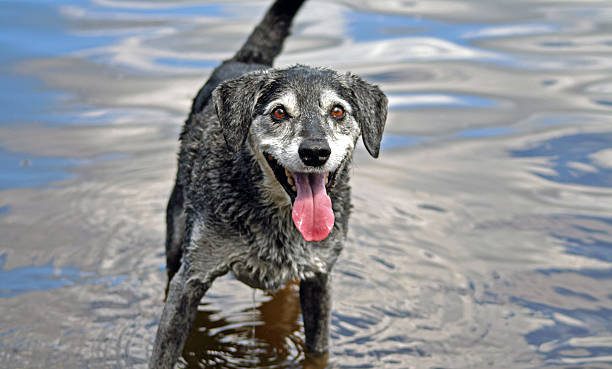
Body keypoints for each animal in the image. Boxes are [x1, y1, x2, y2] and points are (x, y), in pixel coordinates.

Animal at [149, 0, 388, 366]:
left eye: (337, 111)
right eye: (278, 113)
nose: (315, 152)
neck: (276, 215)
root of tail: (249, 59)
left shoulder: (318, 278)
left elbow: (318, 348)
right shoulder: (189, 279)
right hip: (176, 234)